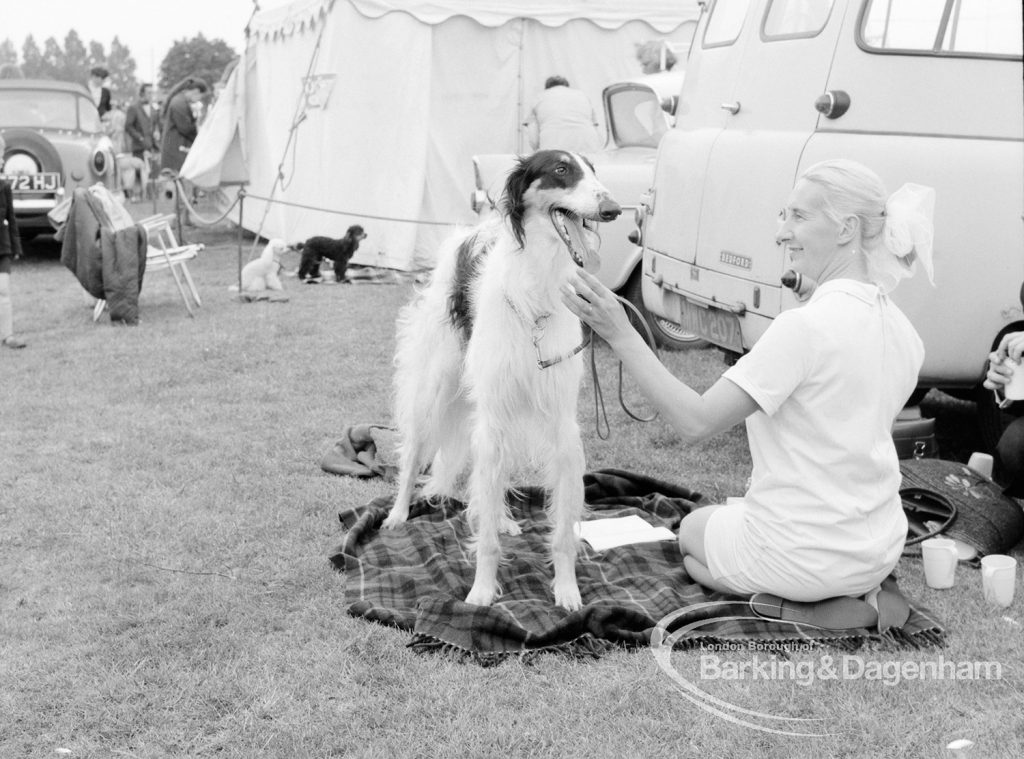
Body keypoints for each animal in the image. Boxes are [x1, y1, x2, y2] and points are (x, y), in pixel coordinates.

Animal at [385, 149, 622, 610]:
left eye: (595, 169)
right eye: (562, 169)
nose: (614, 209)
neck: (535, 295)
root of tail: (470, 232)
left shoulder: (561, 423)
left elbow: (562, 533)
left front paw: (567, 590)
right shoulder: (492, 412)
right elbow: (486, 540)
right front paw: (481, 592)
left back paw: (505, 520)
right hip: (436, 388)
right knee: (413, 455)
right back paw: (398, 513)